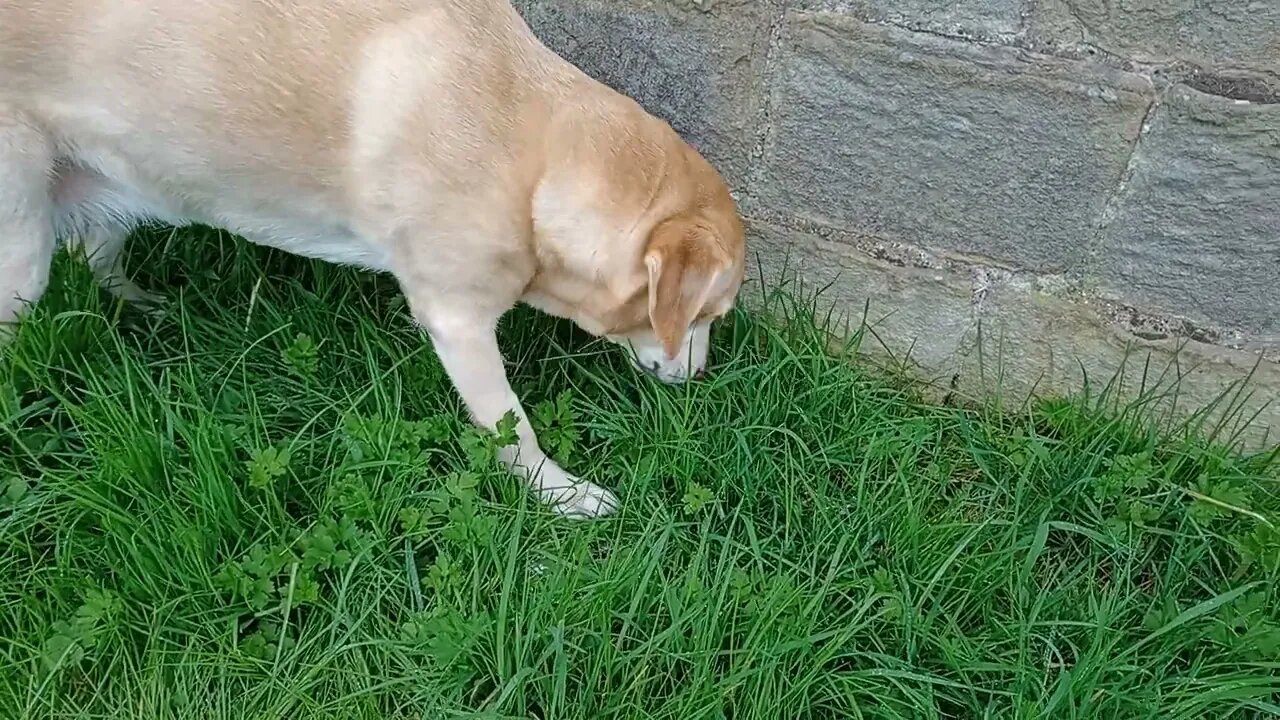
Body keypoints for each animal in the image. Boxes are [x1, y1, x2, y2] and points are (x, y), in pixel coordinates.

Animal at [0, 0, 747, 515]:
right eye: (709, 314)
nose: (704, 377)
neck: (529, 154)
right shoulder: (458, 323)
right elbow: (514, 429)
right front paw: (561, 495)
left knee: (96, 255)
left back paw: (144, 309)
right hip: (21, 255)